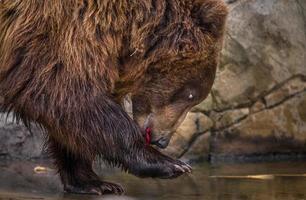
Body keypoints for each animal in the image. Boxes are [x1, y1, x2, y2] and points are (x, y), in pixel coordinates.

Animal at [0, 0, 225, 195]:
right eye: (190, 95)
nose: (163, 141)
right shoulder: (52, 26)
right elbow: (63, 93)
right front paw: (172, 164)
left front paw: (93, 182)